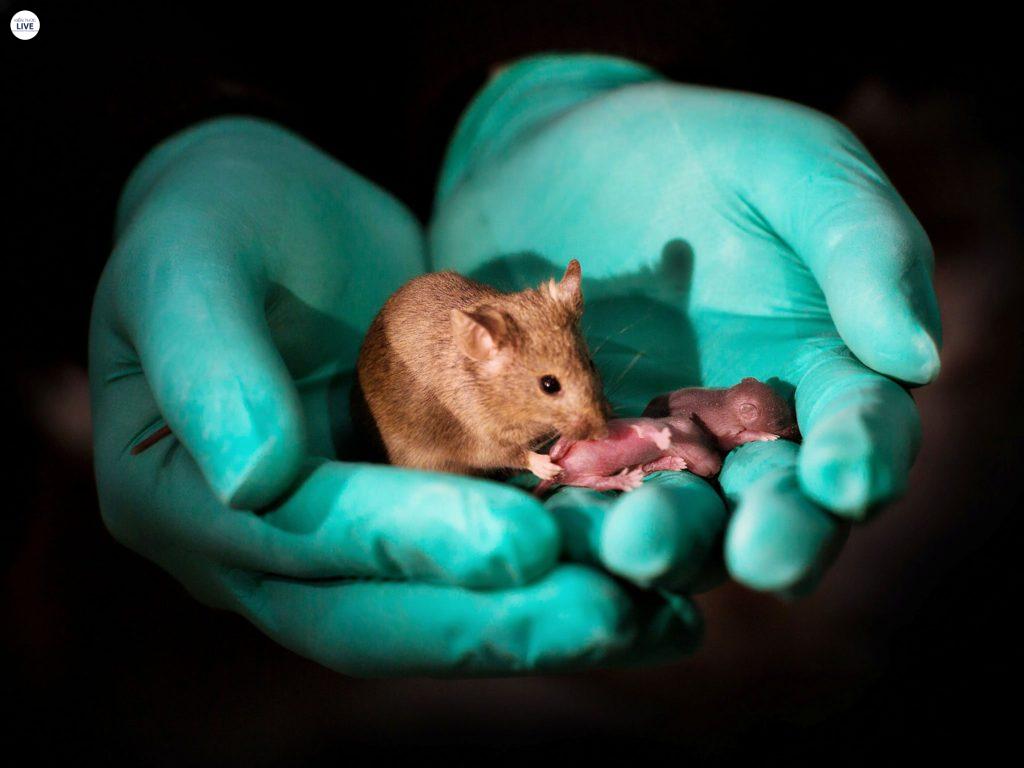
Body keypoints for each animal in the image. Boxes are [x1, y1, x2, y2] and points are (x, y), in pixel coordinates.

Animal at [354, 260, 611, 480]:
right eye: (549, 385)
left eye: (591, 363)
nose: (604, 433)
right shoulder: (481, 439)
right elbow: (512, 455)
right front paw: (546, 466)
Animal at [534, 416, 723, 495]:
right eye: (707, 443)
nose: (718, 466)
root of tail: (560, 472)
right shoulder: (648, 424)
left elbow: (646, 467)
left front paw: (675, 463)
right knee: (560, 446)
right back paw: (552, 457)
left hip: (584, 479)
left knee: (600, 484)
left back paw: (623, 480)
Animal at [642, 378, 800, 451]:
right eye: (779, 422)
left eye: (788, 407)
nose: (798, 432)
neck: (728, 400)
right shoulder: (727, 432)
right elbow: (734, 440)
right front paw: (764, 435)